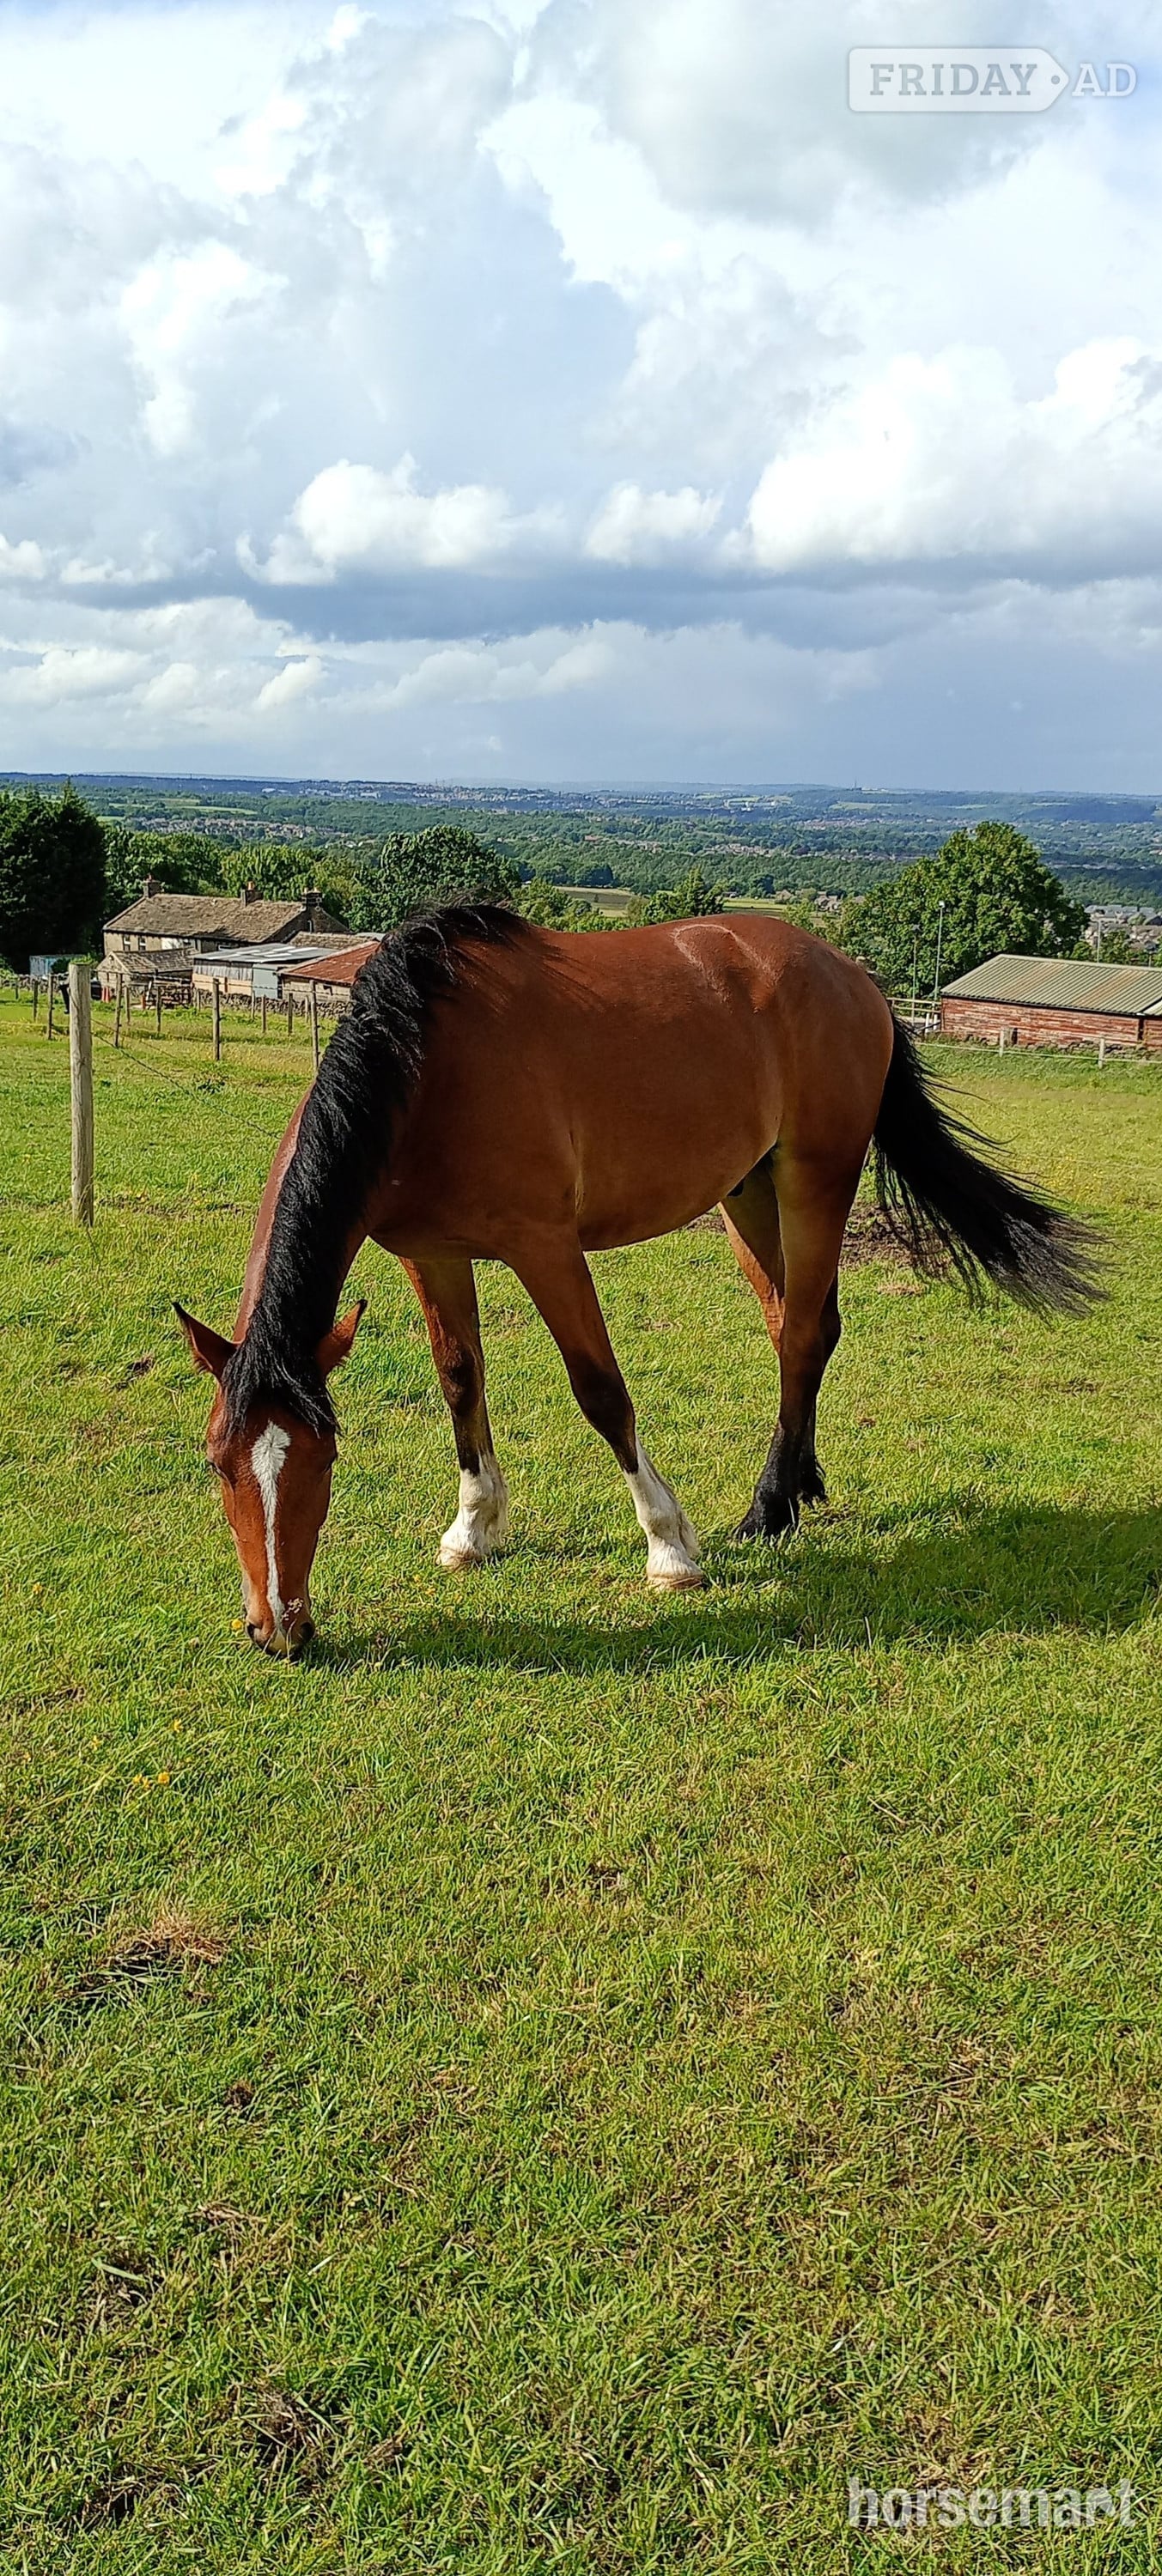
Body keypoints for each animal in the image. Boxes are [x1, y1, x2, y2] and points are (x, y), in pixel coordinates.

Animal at [176, 905, 1100, 1654]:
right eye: (219, 1462)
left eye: (322, 1458)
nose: (277, 1627)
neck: (426, 1070)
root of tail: (850, 974)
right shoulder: (429, 1253)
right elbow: (458, 1379)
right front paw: (472, 1530)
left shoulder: (546, 1249)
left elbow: (601, 1393)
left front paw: (669, 1548)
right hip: (747, 1191)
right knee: (794, 1326)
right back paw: (799, 1482)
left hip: (815, 1177)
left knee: (804, 1332)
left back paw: (768, 1511)